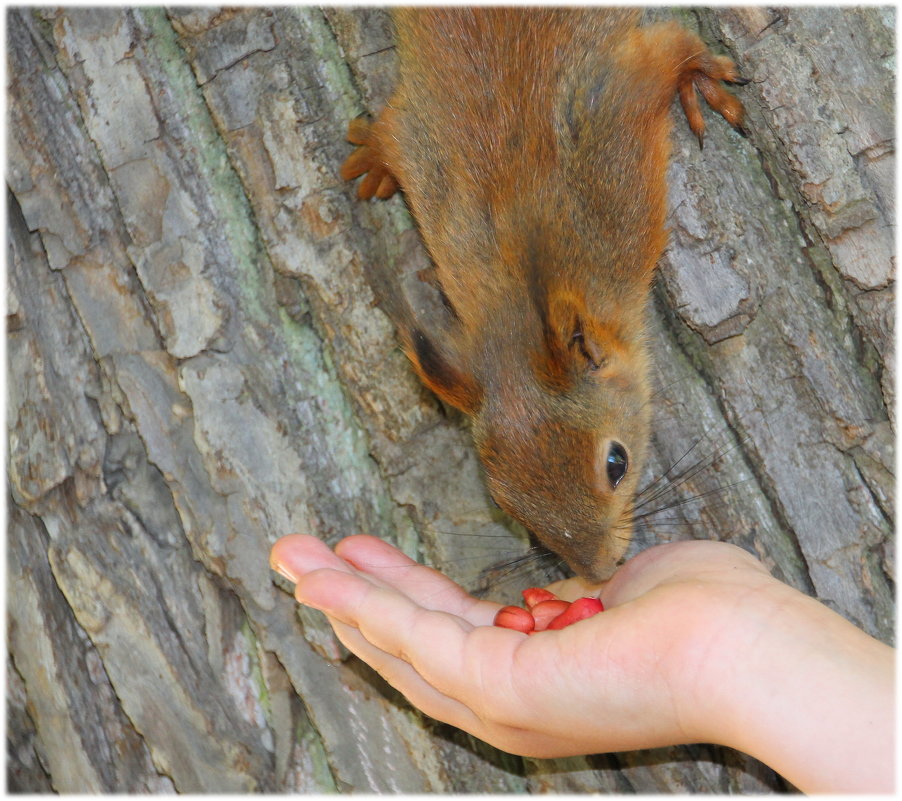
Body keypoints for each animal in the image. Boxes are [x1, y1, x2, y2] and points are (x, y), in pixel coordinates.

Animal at [340, 7, 748, 580]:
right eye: (504, 503)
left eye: (617, 463)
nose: (599, 573)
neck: (516, 272)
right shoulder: (424, 156)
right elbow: (391, 131)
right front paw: (374, 158)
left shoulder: (608, 132)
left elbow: (668, 49)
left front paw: (698, 74)